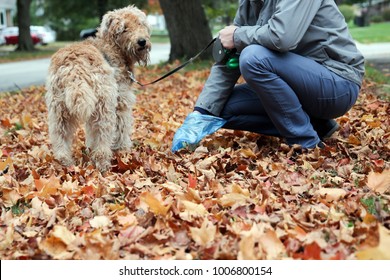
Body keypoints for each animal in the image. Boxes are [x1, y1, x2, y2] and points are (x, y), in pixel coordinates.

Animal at [45, 5, 150, 172]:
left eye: (140, 23)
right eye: (124, 28)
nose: (142, 41)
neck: (113, 47)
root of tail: (74, 66)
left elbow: (90, 133)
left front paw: (89, 148)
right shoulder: (121, 103)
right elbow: (122, 129)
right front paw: (123, 150)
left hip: (59, 110)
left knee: (60, 138)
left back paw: (65, 163)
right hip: (104, 107)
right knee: (103, 139)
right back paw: (104, 165)